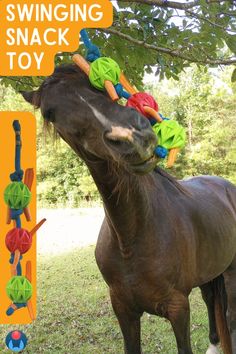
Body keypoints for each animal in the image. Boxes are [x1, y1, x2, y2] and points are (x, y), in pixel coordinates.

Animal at [21, 64, 236, 354]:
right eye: (49, 113)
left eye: (99, 84)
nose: (133, 136)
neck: (132, 236)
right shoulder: (124, 310)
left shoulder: (178, 308)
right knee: (212, 302)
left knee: (229, 317)